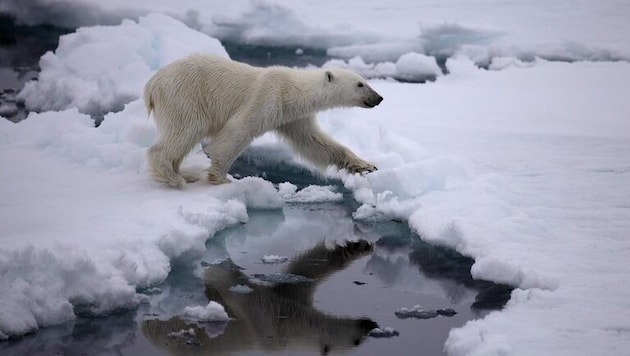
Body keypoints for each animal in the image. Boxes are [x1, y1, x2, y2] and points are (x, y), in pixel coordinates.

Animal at [146, 54, 382, 188]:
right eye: (360, 84)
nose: (379, 97)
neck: (292, 90)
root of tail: (152, 84)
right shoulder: (266, 97)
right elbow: (238, 131)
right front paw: (221, 178)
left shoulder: (293, 117)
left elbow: (314, 143)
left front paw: (365, 165)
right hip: (184, 95)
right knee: (186, 129)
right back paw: (174, 178)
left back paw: (183, 174)